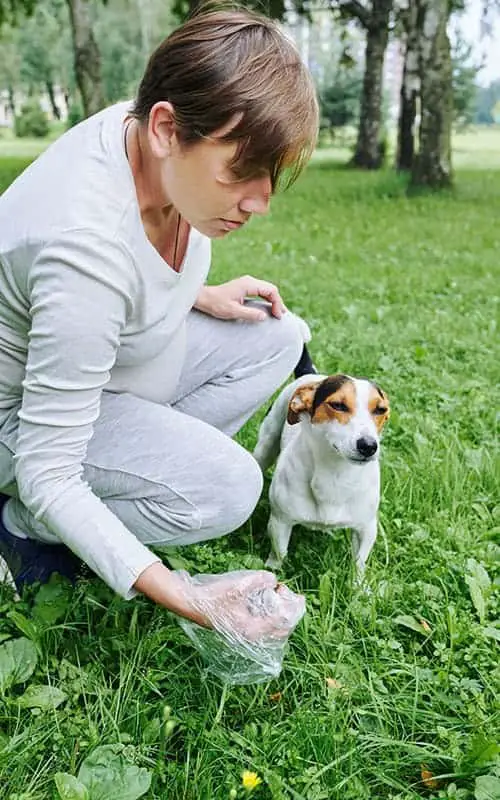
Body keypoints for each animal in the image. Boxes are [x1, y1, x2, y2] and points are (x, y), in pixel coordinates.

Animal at [254, 368, 390, 576]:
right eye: (338, 405)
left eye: (380, 410)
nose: (368, 446)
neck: (335, 472)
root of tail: (315, 375)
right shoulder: (280, 521)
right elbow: (279, 555)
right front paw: (274, 572)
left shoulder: (366, 528)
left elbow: (359, 564)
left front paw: (359, 584)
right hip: (266, 445)